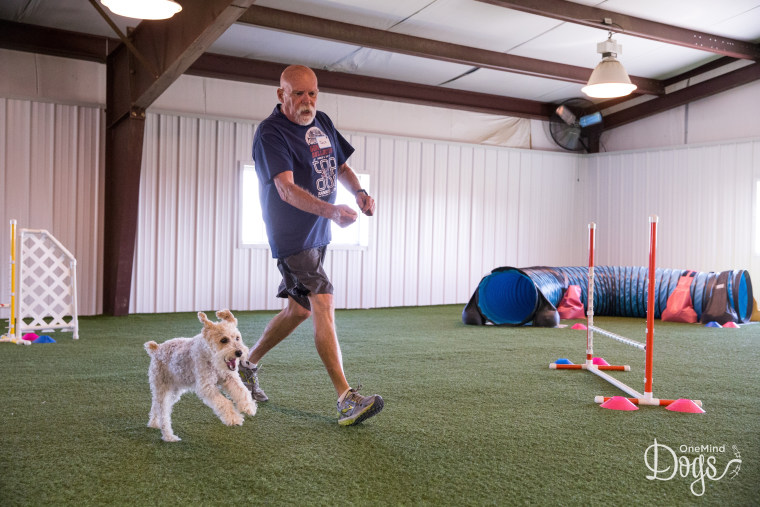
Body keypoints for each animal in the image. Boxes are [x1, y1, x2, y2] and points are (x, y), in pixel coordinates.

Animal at [144, 310, 256, 440]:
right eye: (223, 340)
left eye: (237, 338)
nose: (239, 353)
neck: (211, 356)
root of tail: (156, 349)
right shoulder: (206, 386)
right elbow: (224, 402)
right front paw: (234, 418)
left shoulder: (230, 378)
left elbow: (243, 391)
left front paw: (249, 407)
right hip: (162, 388)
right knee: (163, 414)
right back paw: (169, 437)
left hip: (173, 391)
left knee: (155, 406)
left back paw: (154, 423)